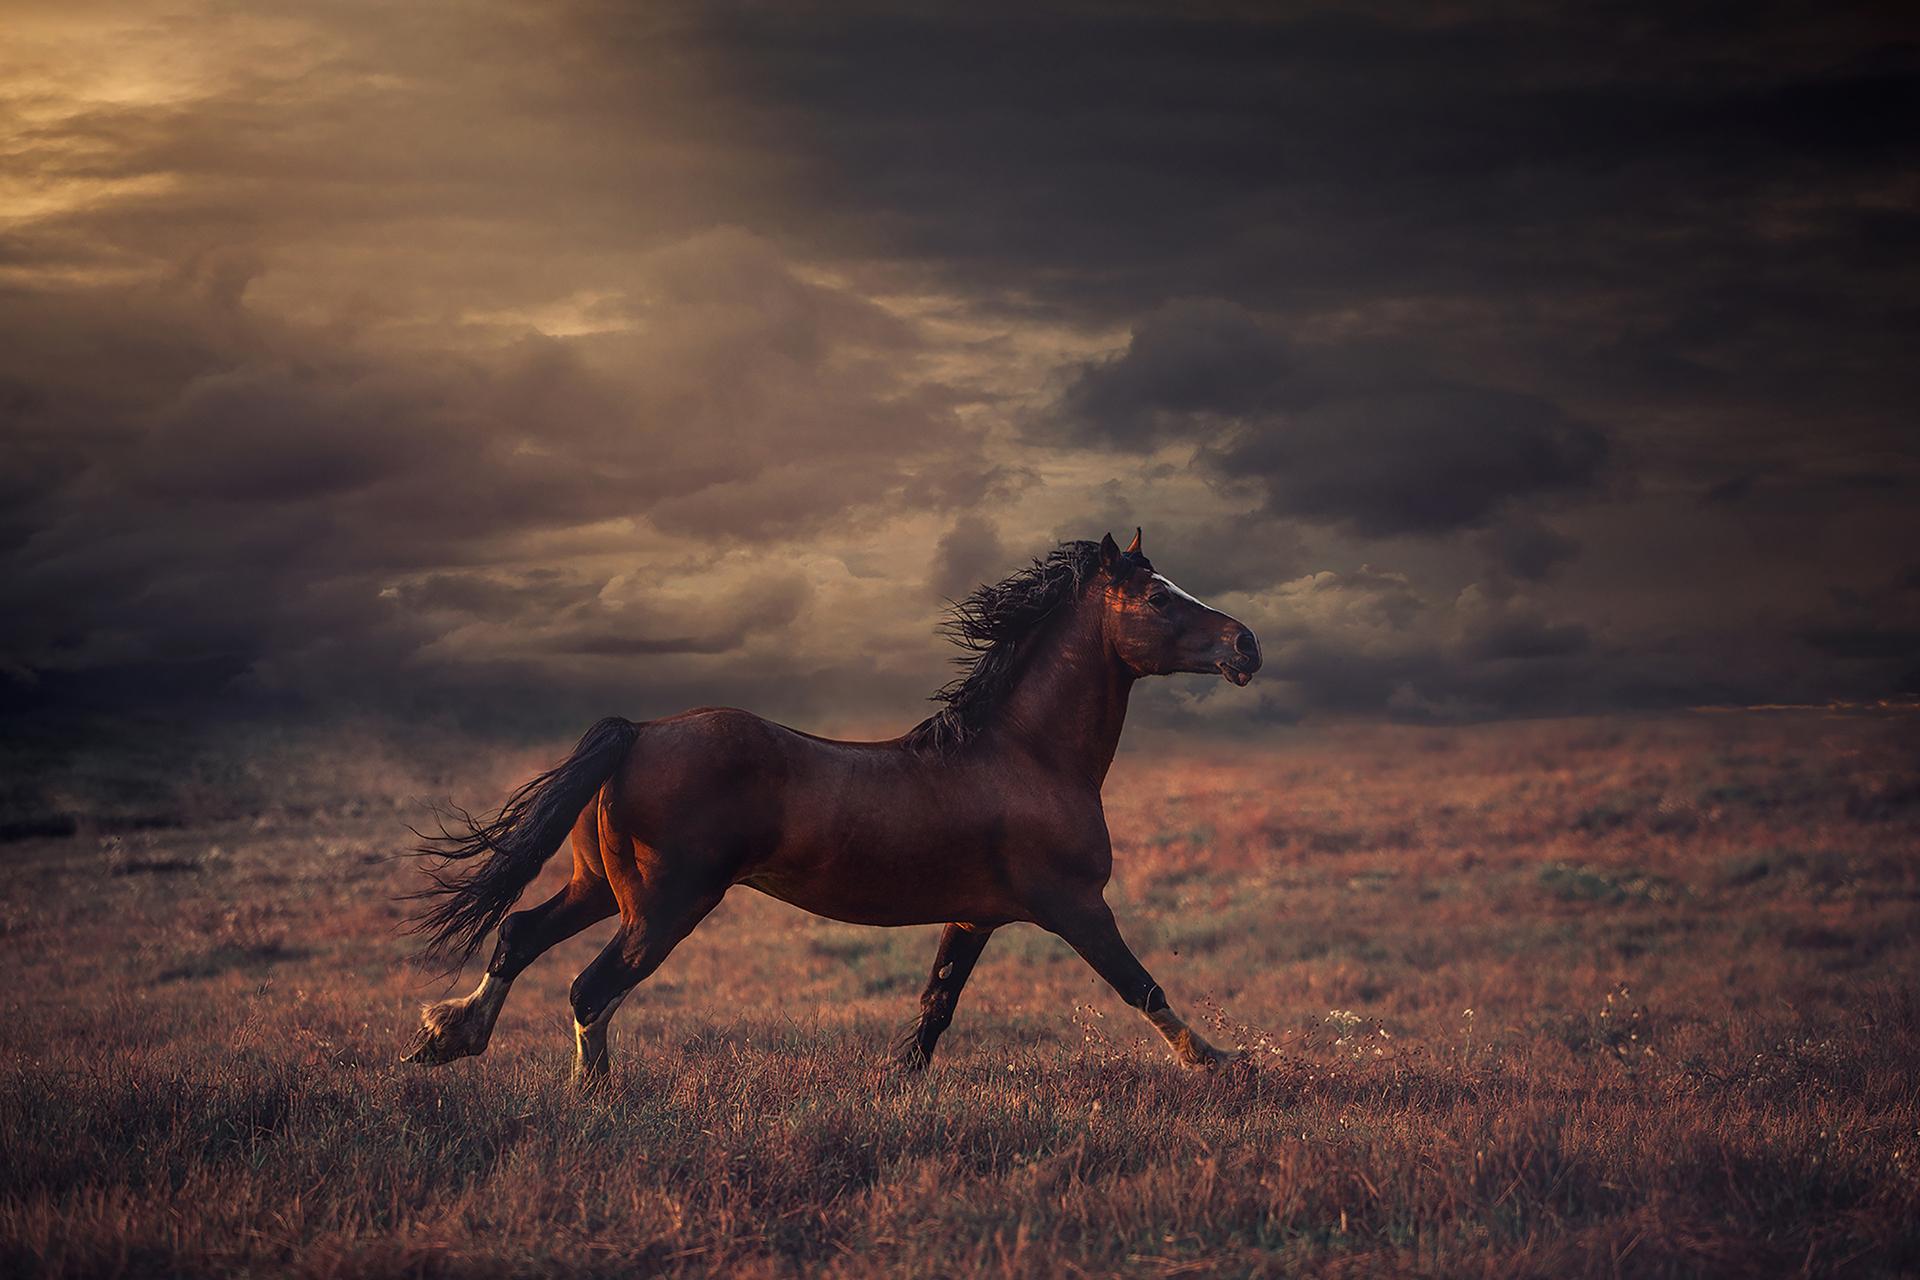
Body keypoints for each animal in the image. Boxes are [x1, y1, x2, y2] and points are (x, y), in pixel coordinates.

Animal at [401, 529, 1259, 1082]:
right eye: (1158, 597)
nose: (1246, 644)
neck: (1027, 756)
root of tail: (638, 733)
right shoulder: (1076, 906)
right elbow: (1142, 985)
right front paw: (1223, 1063)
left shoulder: (973, 918)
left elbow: (934, 1011)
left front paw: (896, 1087)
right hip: (666, 903)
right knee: (590, 989)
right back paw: (595, 1103)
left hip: (598, 887)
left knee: (519, 934)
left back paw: (446, 1037)